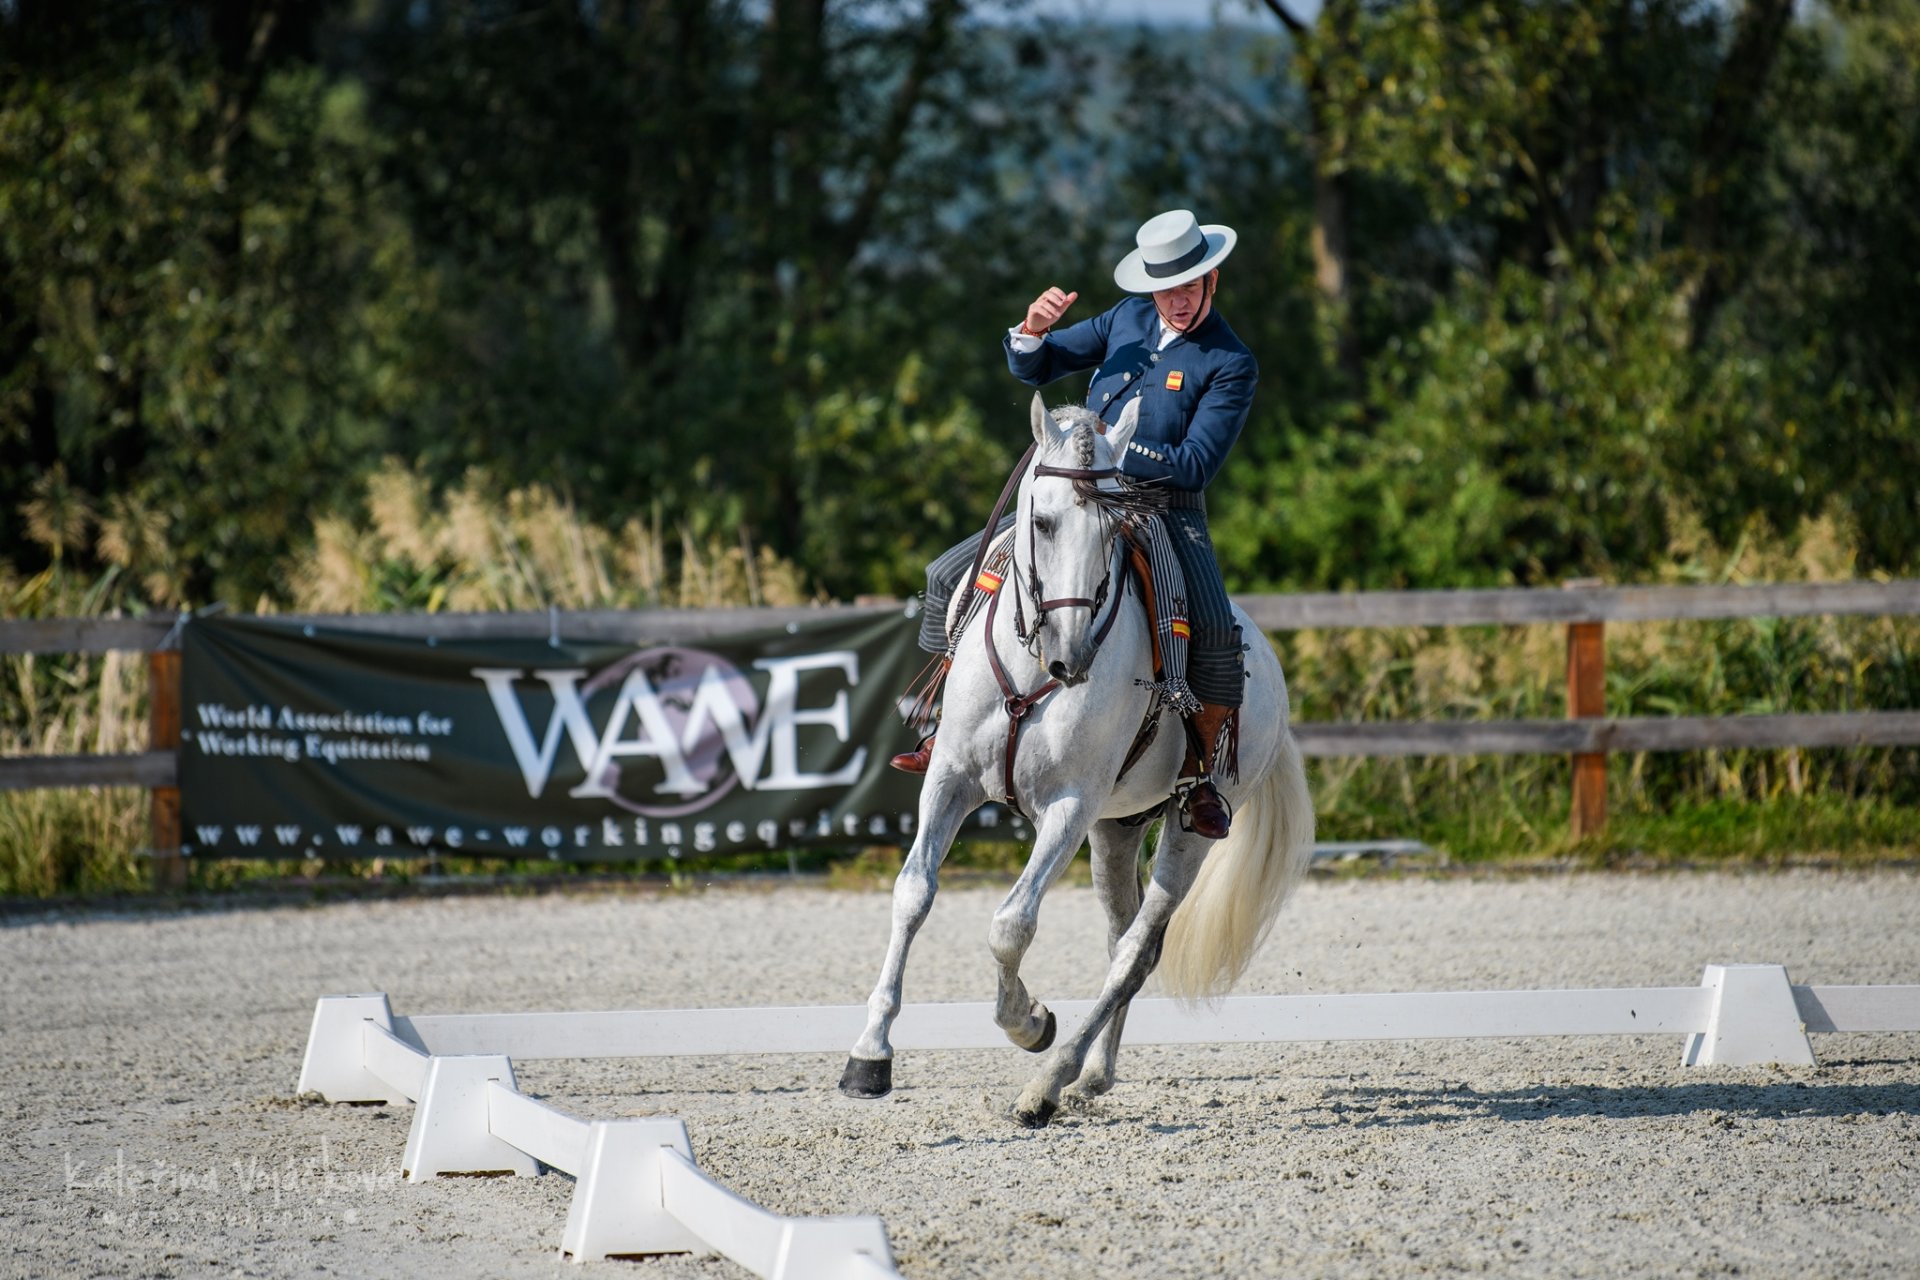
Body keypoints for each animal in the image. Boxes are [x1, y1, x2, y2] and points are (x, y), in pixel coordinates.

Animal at [844, 393, 1320, 1128]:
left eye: (1113, 531)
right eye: (1040, 522)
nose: (1072, 657)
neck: (1032, 664)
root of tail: (1266, 660)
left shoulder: (1067, 808)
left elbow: (1011, 925)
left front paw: (1029, 1022)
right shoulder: (950, 780)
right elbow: (913, 893)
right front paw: (869, 1056)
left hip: (1186, 831)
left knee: (1136, 951)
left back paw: (1049, 1083)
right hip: (1115, 831)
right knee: (1123, 940)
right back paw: (1092, 1075)